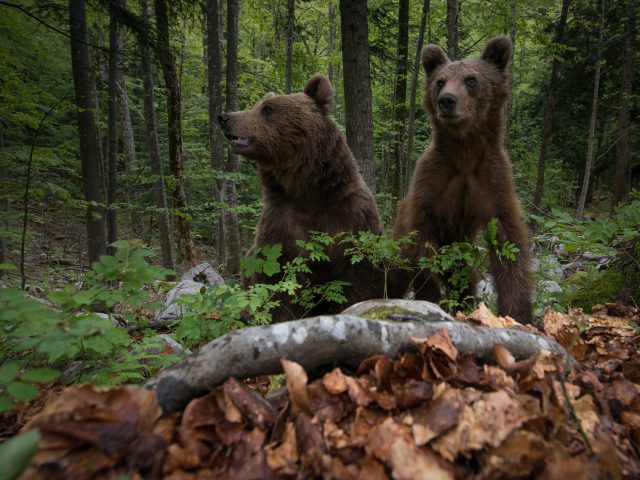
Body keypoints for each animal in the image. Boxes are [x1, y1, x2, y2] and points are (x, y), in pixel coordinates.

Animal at [218, 75, 382, 320]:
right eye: (257, 105)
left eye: (267, 109)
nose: (224, 117)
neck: (306, 190)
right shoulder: (281, 222)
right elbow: (280, 279)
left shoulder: (351, 216)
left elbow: (360, 275)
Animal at [390, 36, 536, 322]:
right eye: (440, 81)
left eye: (471, 79)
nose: (446, 100)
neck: (464, 151)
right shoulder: (433, 182)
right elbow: (422, 247)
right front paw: (432, 297)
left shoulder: (492, 180)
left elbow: (508, 241)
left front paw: (518, 313)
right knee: (394, 272)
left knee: (466, 275)